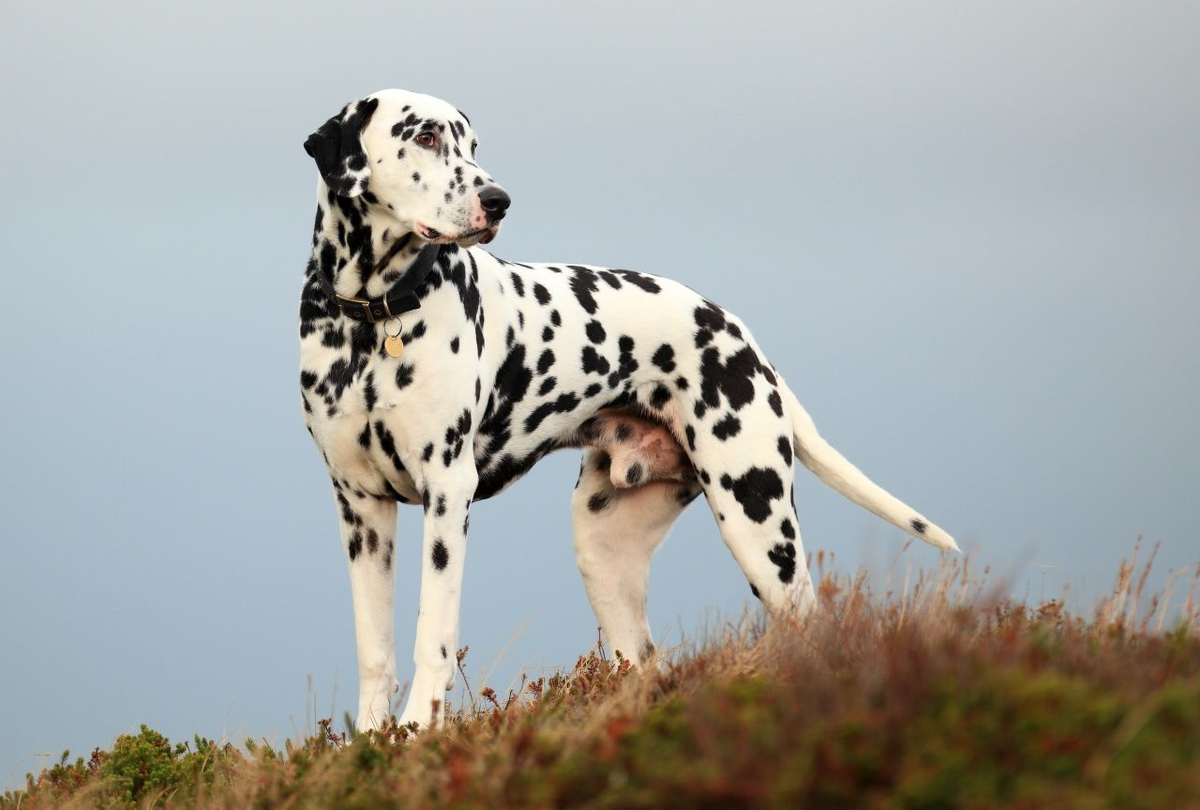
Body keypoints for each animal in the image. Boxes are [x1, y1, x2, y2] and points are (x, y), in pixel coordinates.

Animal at [300, 90, 955, 734]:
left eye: (473, 144)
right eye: (426, 136)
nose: (498, 200)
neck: (372, 321)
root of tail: (740, 333)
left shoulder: (447, 492)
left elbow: (432, 634)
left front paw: (418, 731)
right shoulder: (360, 509)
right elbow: (375, 649)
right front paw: (371, 740)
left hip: (760, 525)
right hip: (605, 550)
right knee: (642, 660)